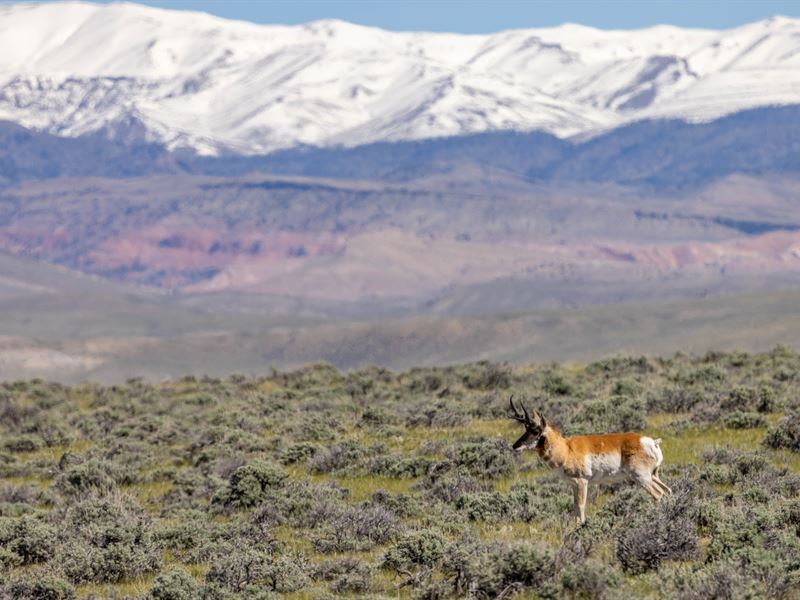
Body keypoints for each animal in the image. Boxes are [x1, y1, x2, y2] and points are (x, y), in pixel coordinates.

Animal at [510, 398, 672, 524]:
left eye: (535, 431)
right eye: (525, 429)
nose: (514, 446)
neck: (566, 449)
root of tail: (649, 441)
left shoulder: (582, 482)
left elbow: (581, 507)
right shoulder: (573, 485)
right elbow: (575, 507)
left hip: (641, 478)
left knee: (658, 495)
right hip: (653, 476)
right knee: (667, 491)